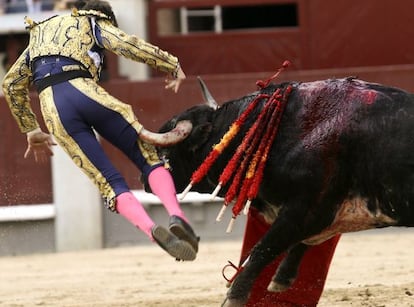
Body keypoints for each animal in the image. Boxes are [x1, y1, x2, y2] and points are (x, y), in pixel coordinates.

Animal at [147, 77, 412, 307]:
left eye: (164, 153)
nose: (144, 177)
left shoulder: (307, 209)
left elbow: (263, 248)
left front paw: (234, 297)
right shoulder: (317, 216)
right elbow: (294, 243)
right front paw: (281, 280)